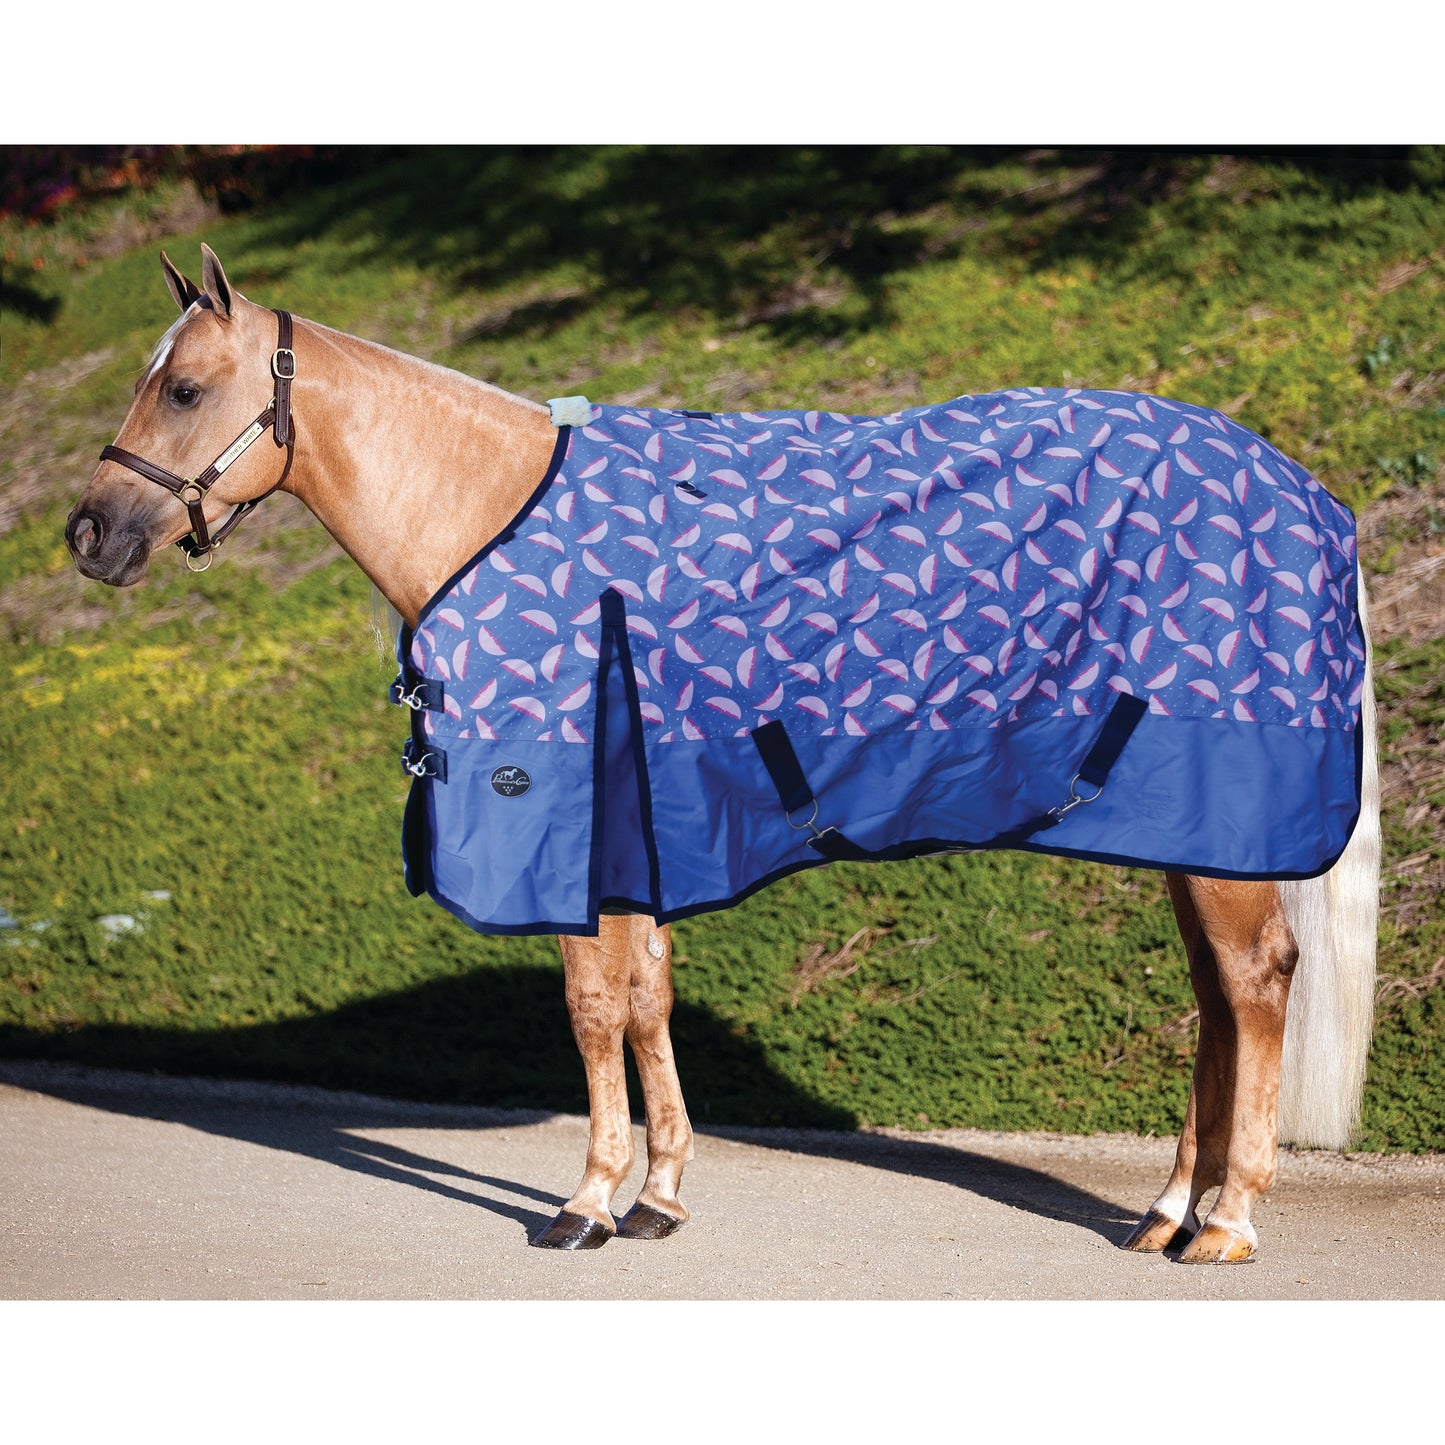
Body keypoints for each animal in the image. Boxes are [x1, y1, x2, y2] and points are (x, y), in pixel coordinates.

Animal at [65, 245, 1380, 1264]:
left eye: (184, 387)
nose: (89, 534)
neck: (491, 510)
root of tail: (1307, 491)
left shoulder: (570, 821)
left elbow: (593, 1005)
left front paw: (586, 1201)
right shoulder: (641, 827)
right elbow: (646, 995)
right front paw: (657, 1193)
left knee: (1252, 983)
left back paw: (1225, 1220)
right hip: (1184, 824)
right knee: (1217, 996)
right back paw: (1166, 1208)